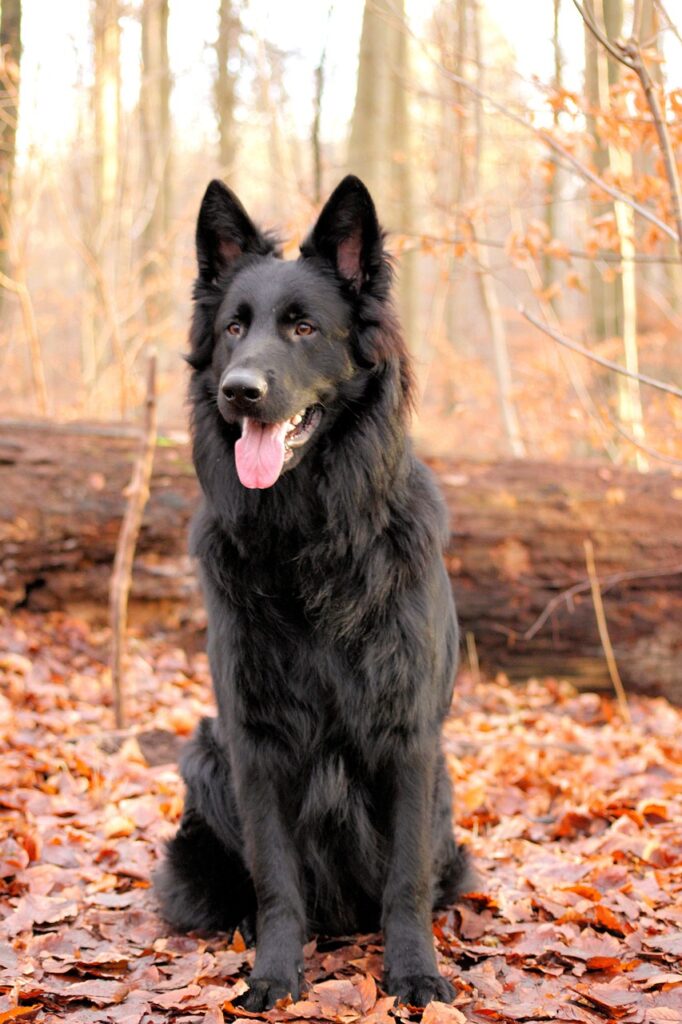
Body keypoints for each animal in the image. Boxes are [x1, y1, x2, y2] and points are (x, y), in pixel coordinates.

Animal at [155, 176, 471, 1007]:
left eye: (302, 328)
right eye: (234, 328)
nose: (239, 391)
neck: (308, 543)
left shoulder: (407, 737)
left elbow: (404, 880)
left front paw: (414, 972)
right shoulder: (255, 741)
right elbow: (276, 880)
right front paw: (273, 974)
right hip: (204, 760)